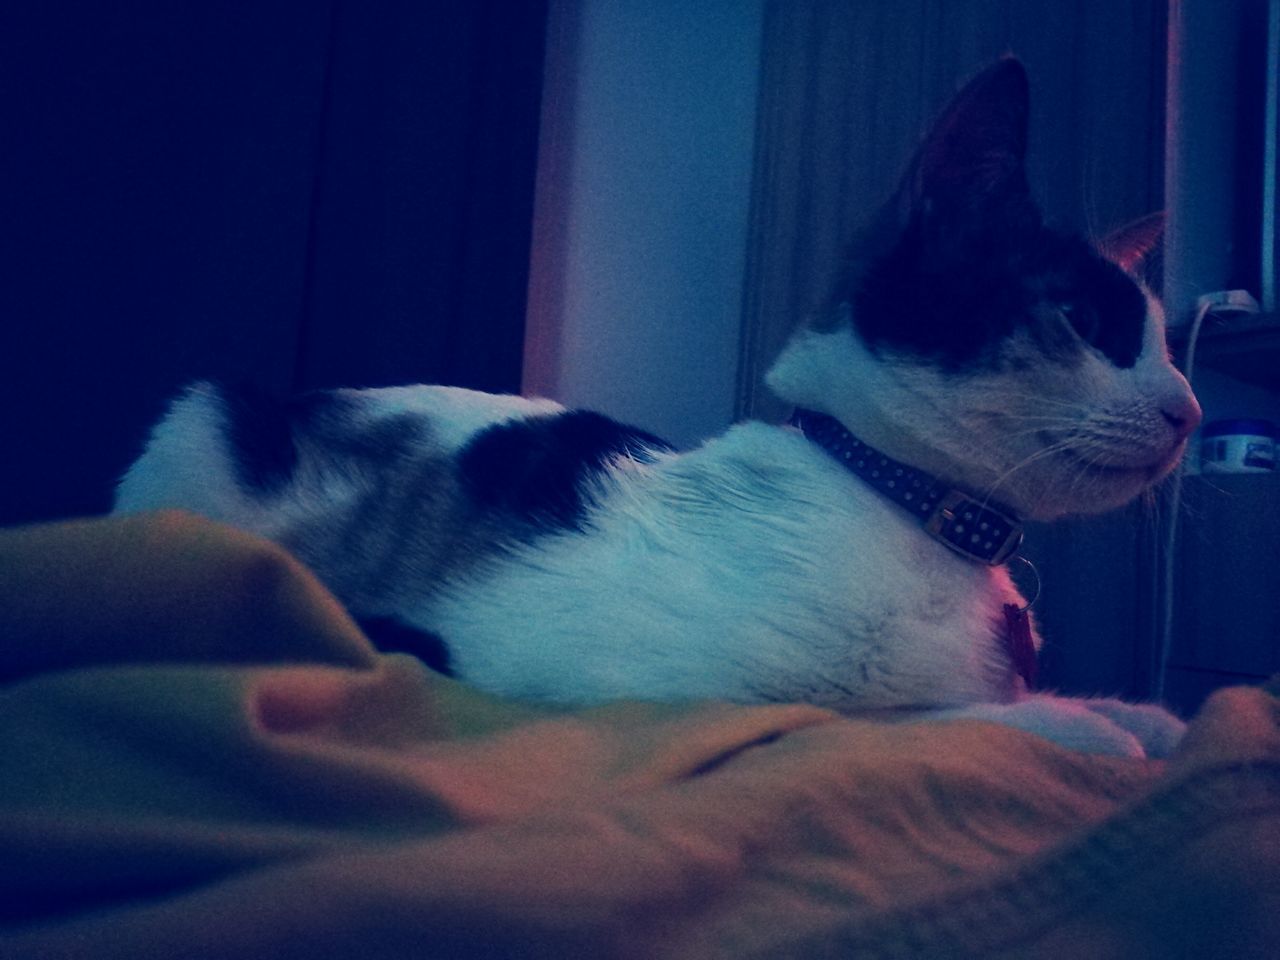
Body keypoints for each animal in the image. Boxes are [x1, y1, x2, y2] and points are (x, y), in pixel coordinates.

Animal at [112, 64, 1198, 762]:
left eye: (1163, 341)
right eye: (1085, 324)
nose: (1189, 410)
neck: (898, 505)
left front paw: (1149, 717)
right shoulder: (598, 673)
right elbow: (875, 716)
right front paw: (1083, 726)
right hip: (204, 424)